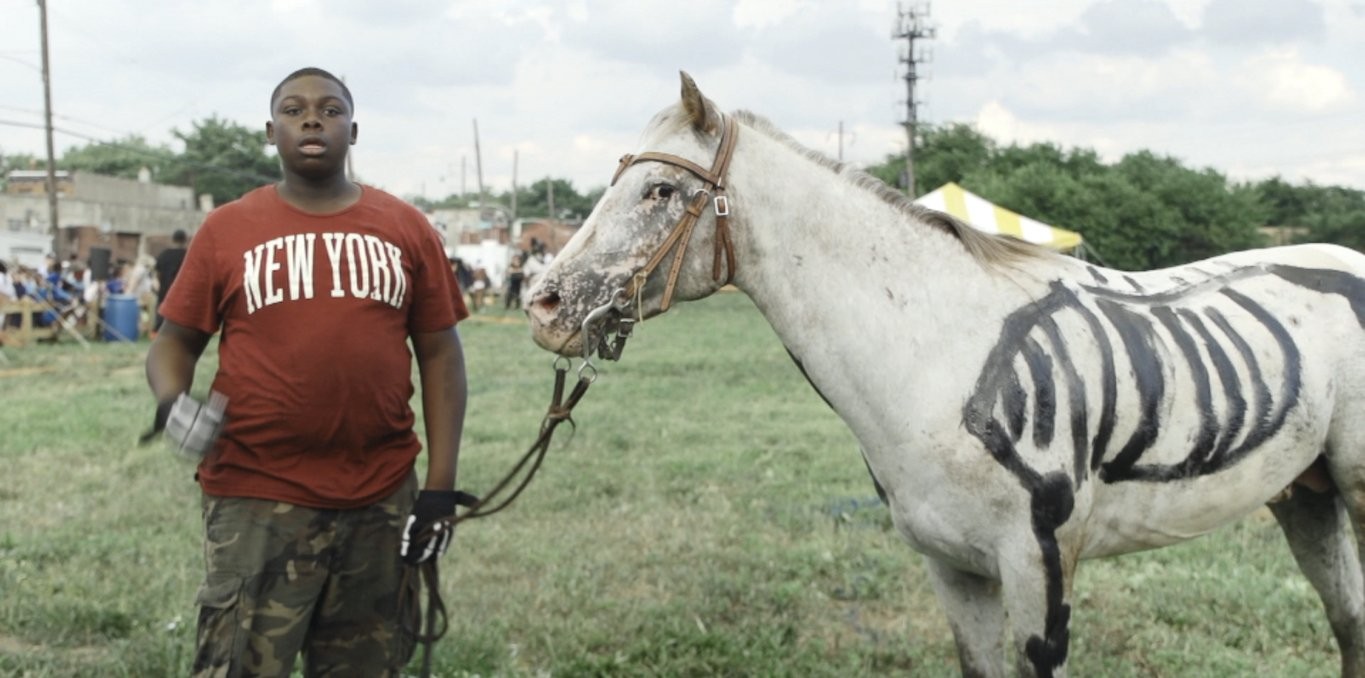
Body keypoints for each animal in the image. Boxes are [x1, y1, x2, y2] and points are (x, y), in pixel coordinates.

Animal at [525, 72, 1365, 677]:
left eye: (659, 191)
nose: (543, 303)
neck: (934, 353)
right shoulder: (951, 568)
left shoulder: (1039, 569)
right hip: (1305, 494)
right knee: (1350, 622)